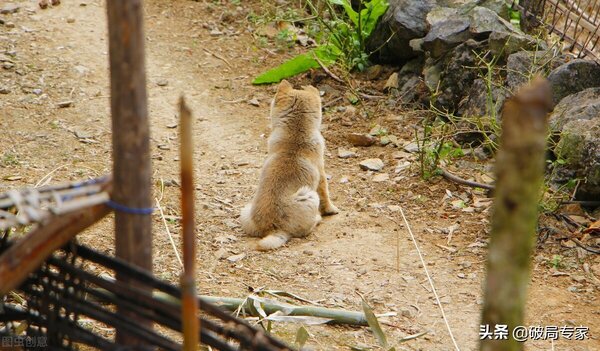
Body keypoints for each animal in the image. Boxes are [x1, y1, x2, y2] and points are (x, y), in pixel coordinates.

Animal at [241, 80, 340, 250]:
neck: (295, 135)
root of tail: (273, 229)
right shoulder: (321, 175)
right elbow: (326, 195)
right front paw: (332, 210)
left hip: (245, 210)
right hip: (309, 196)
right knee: (306, 229)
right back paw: (317, 218)